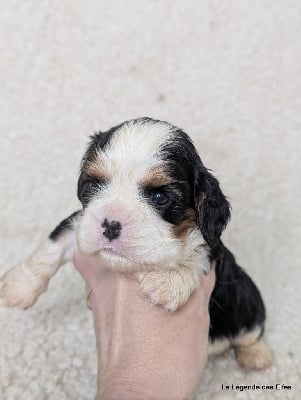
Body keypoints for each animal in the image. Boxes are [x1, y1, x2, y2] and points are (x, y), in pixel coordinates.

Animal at [0, 118, 272, 368]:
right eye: (92, 185)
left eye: (160, 197)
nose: (111, 224)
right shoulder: (81, 223)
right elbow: (54, 241)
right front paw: (18, 286)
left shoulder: (211, 242)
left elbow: (198, 251)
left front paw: (168, 279)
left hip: (249, 303)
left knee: (251, 332)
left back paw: (257, 357)